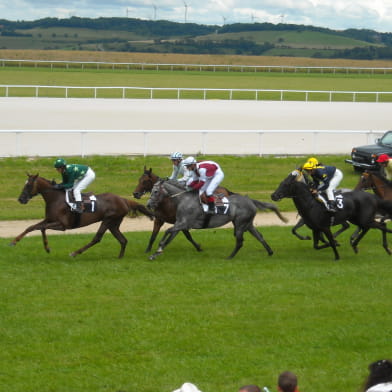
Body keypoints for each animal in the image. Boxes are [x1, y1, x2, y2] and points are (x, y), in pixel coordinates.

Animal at [10, 174, 155, 258]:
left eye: (29, 185)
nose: (21, 199)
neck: (56, 199)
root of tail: (123, 200)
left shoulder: (62, 225)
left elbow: (42, 228)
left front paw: (47, 247)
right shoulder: (49, 219)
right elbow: (32, 227)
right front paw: (14, 241)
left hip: (108, 220)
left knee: (97, 238)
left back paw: (75, 253)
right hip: (114, 223)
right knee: (123, 240)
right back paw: (120, 257)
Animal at [147, 180, 288, 260]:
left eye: (155, 191)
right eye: (151, 190)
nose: (148, 205)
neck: (184, 199)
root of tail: (250, 200)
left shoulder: (184, 223)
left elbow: (167, 232)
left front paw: (158, 249)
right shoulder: (180, 223)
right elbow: (170, 237)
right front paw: (155, 253)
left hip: (240, 224)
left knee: (240, 241)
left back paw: (230, 257)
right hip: (248, 224)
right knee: (259, 236)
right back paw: (269, 252)